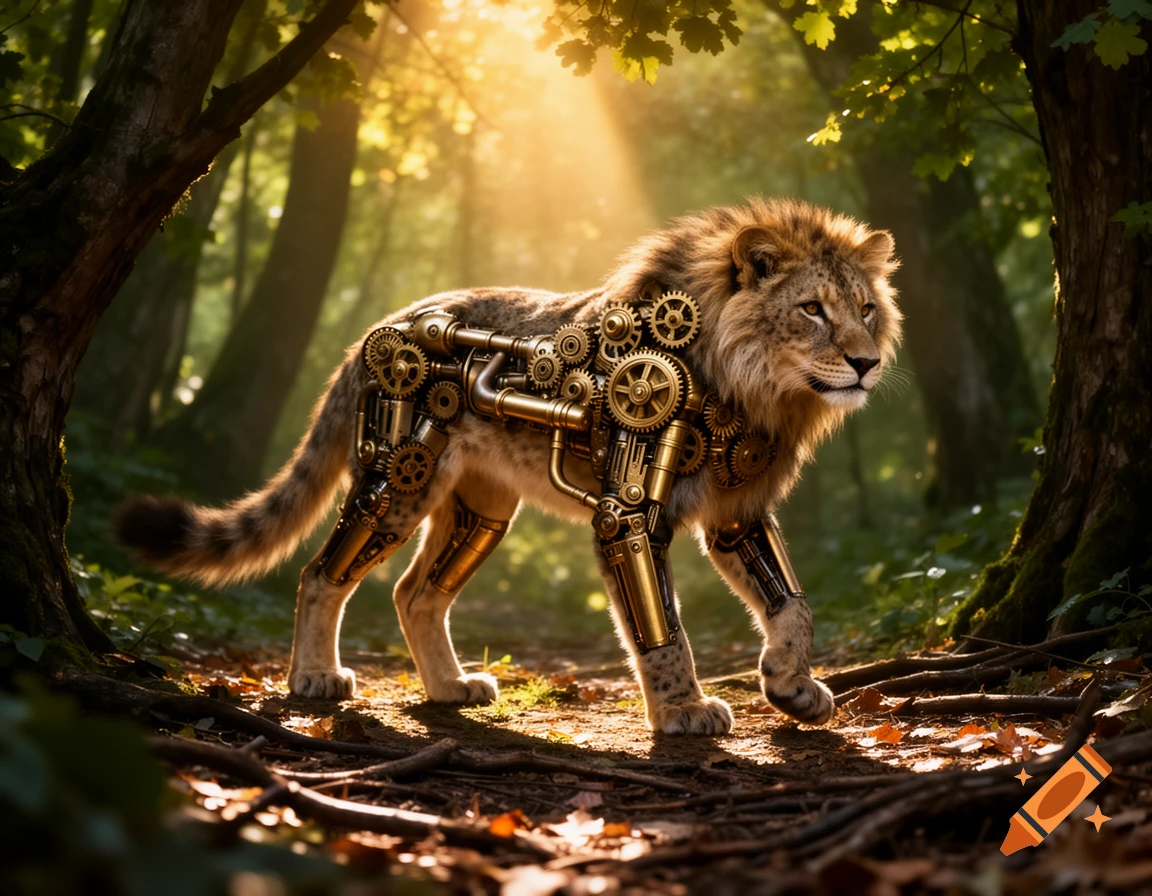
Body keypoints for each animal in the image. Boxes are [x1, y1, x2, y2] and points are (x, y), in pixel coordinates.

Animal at [116, 197, 900, 735]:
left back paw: (451, 688)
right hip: (400, 480)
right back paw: (314, 678)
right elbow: (662, 630)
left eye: (866, 308)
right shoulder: (628, 511)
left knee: (414, 594)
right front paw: (684, 711)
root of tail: (377, 331)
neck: (758, 394)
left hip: (483, 507)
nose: (867, 363)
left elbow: (793, 604)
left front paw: (791, 687)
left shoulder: (737, 512)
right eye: (812, 309)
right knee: (321, 573)